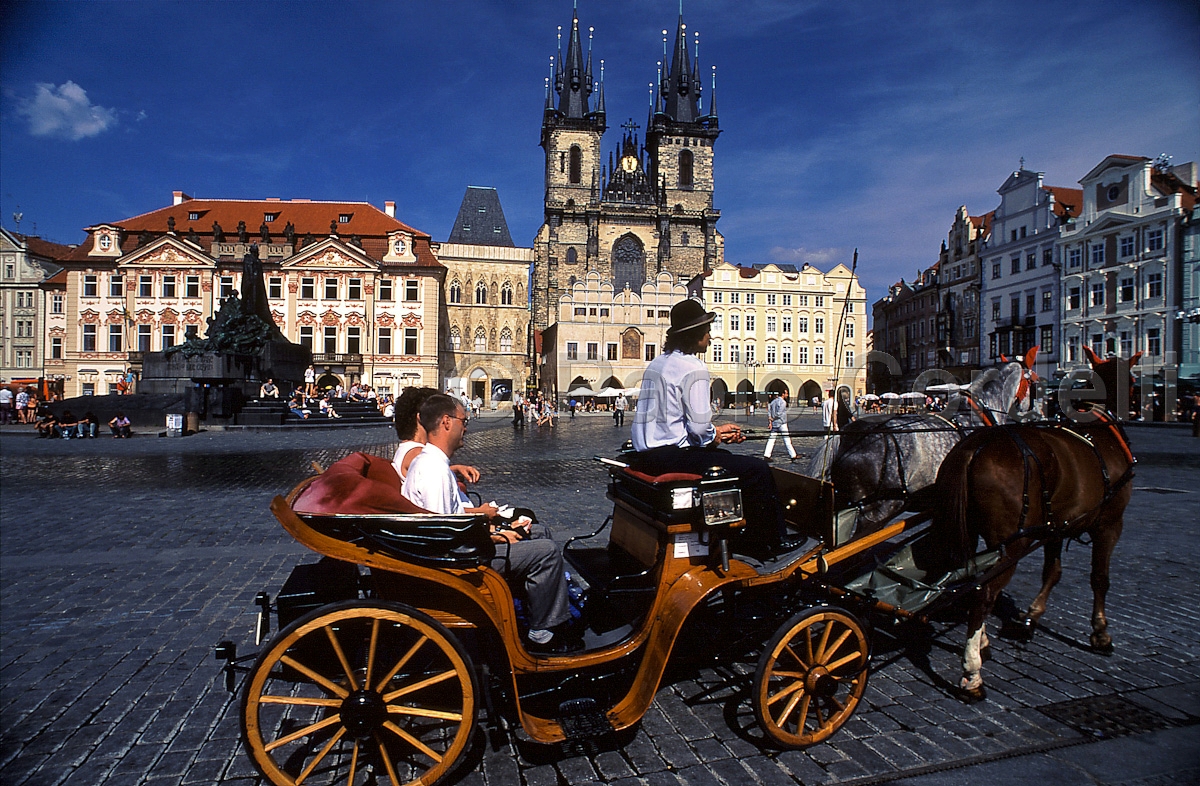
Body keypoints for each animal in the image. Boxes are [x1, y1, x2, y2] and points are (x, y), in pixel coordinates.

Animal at [926, 405, 1132, 700]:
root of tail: (974, 448)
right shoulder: (1110, 525)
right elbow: (1100, 579)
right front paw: (1101, 633)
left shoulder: (1054, 528)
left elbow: (1053, 573)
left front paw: (1030, 617)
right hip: (1013, 544)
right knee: (984, 594)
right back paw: (972, 674)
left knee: (973, 583)